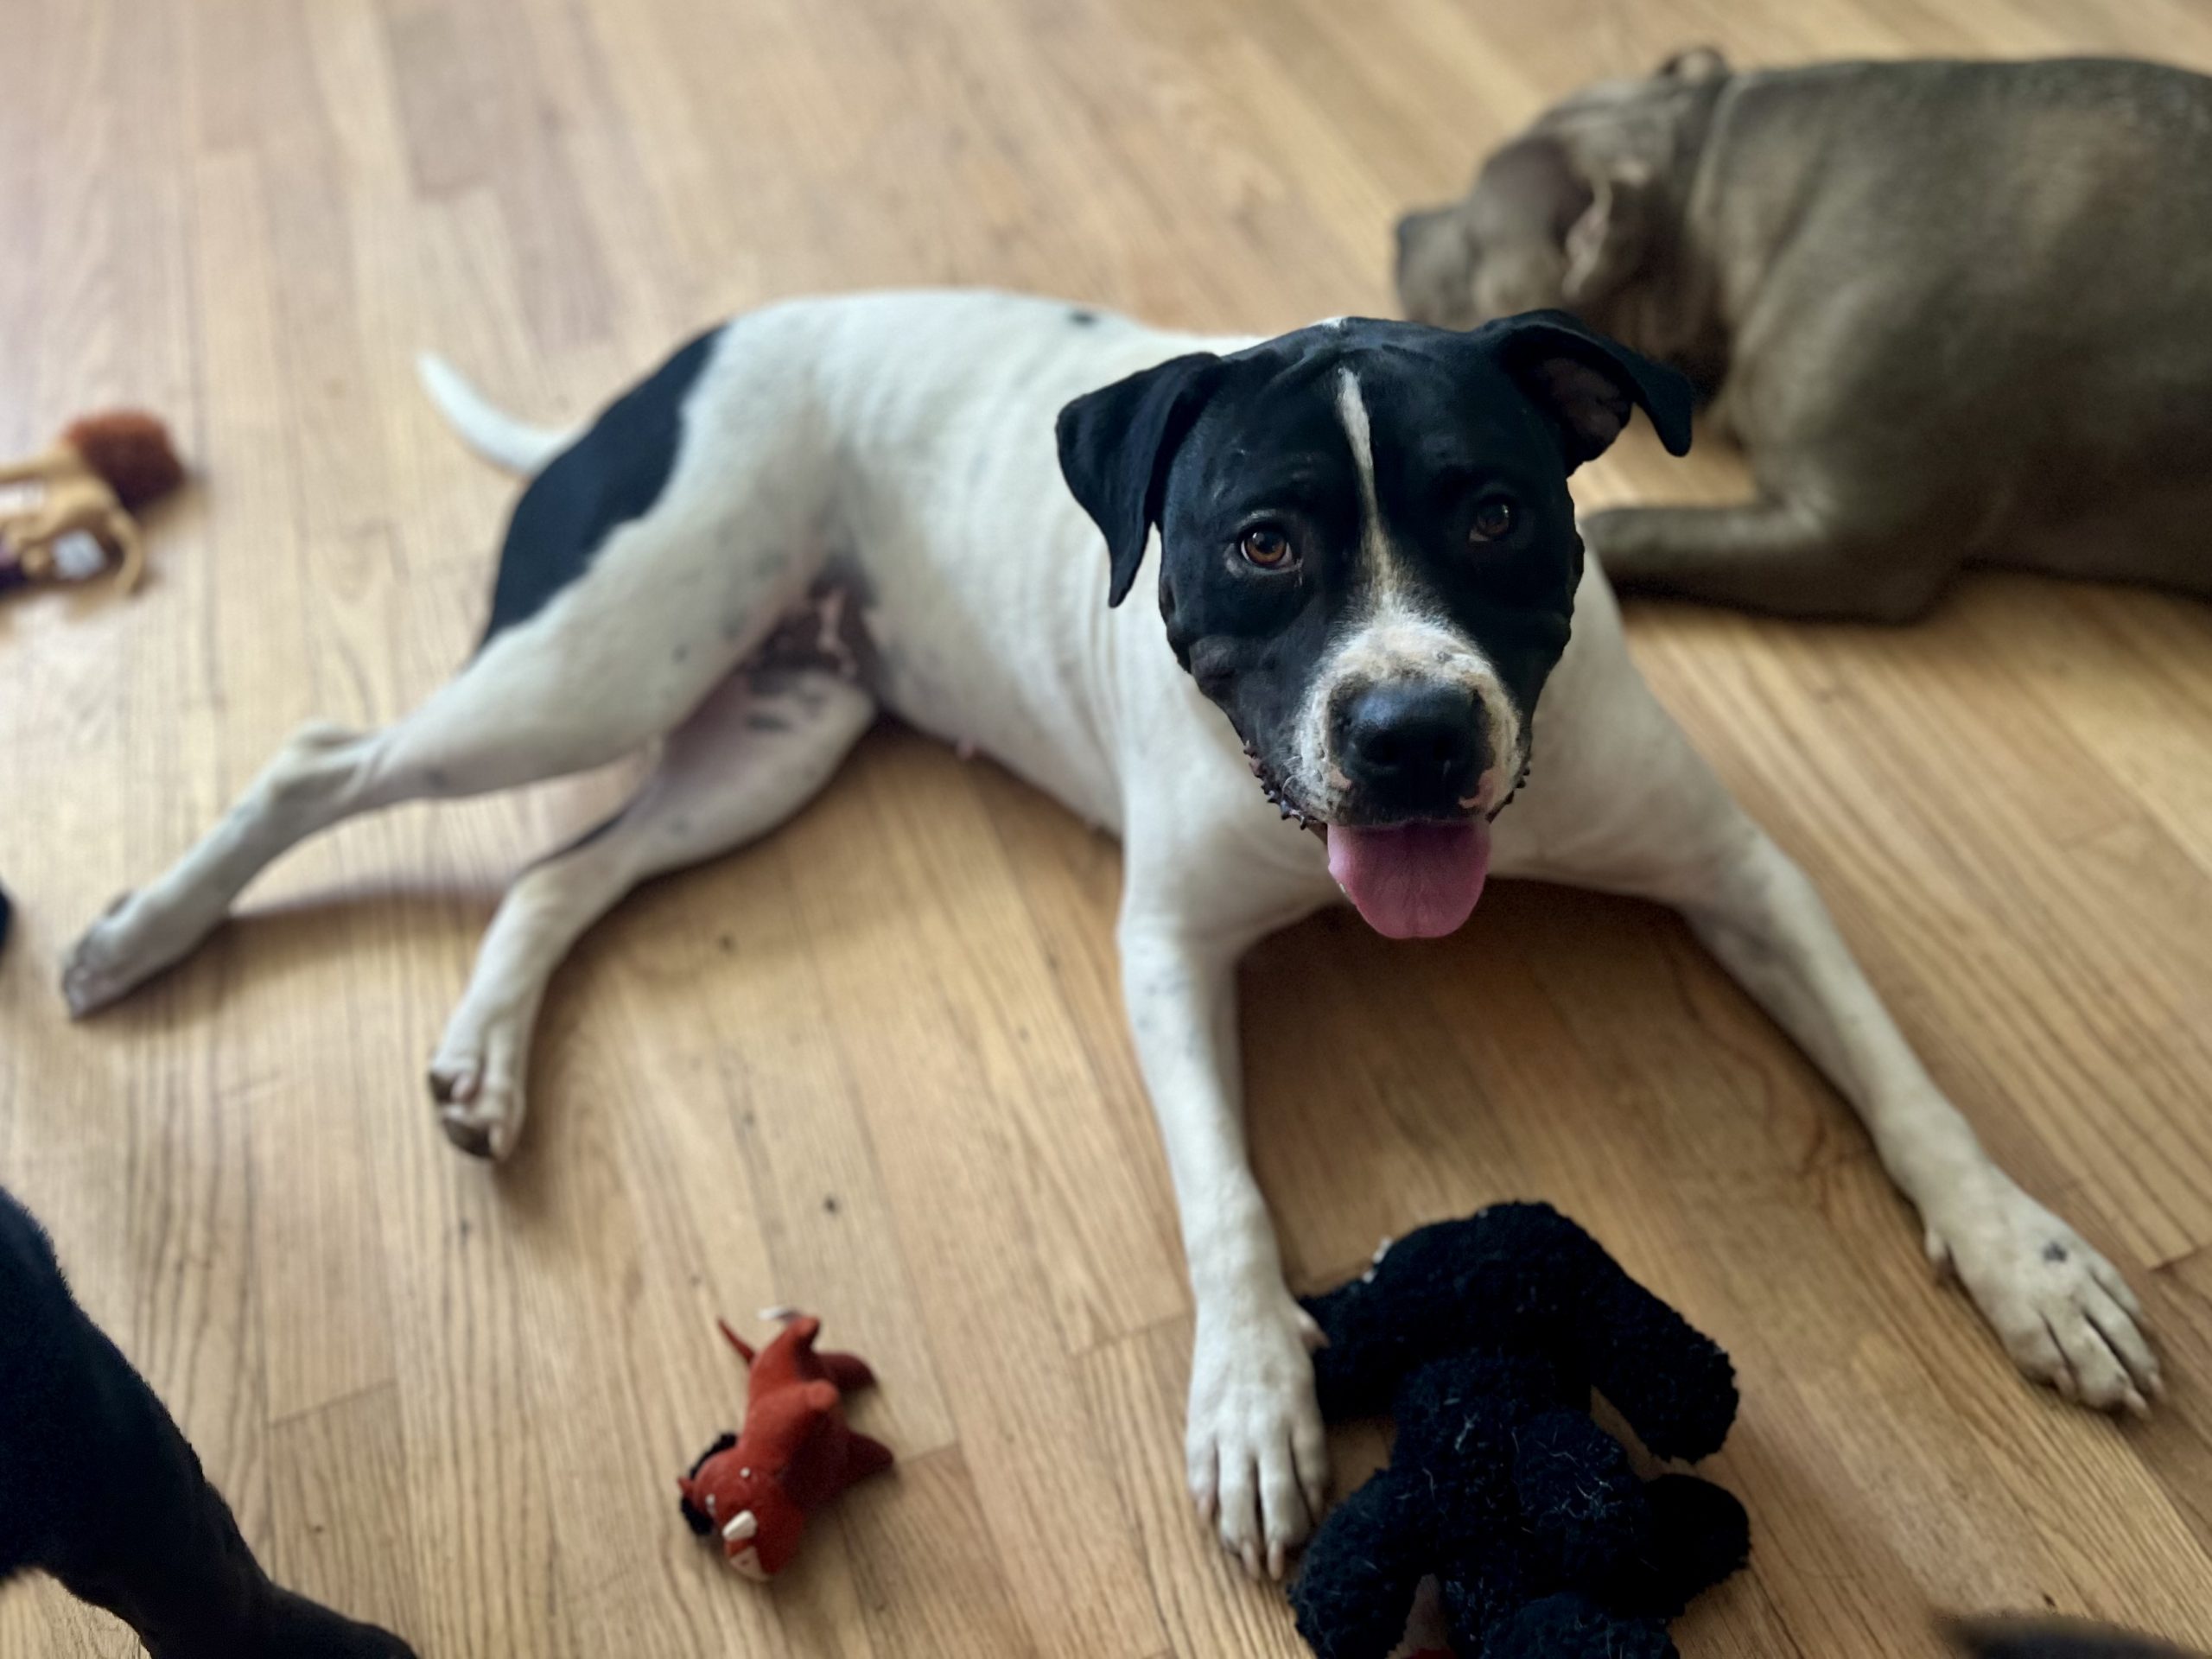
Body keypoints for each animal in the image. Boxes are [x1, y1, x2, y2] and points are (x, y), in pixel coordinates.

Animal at [58, 290, 2159, 1574]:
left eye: (1494, 513)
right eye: (1260, 543)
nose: (1412, 734)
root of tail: (689, 352)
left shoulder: (1741, 878)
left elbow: (1909, 1090)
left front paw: (2031, 1266)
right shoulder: (1167, 959)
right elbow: (1223, 1196)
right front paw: (1250, 1403)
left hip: (762, 736)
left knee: (554, 872)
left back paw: (483, 1062)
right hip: (602, 659)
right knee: (334, 760)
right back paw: (134, 937)